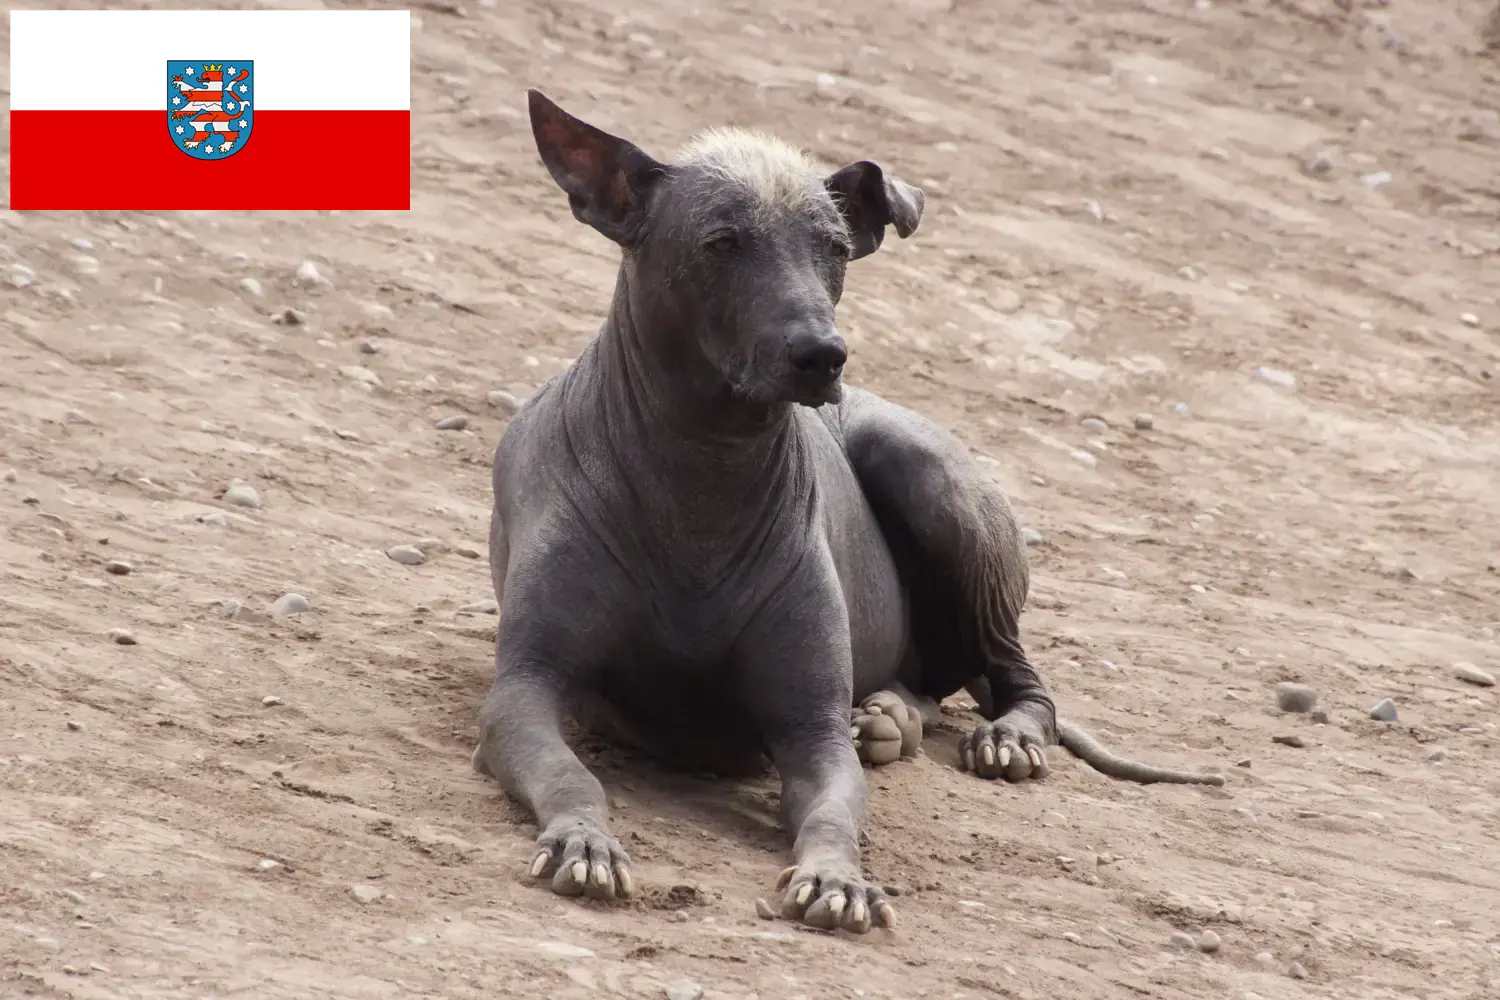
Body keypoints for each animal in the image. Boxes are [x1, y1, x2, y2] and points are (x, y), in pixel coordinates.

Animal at [474, 91, 1224, 941]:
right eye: (721, 243)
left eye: (833, 248)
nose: (822, 354)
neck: (703, 474)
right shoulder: (525, 691)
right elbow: (573, 778)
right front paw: (585, 843)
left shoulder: (812, 730)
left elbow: (834, 813)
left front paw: (838, 880)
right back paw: (894, 716)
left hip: (927, 474)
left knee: (1015, 676)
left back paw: (997, 736)